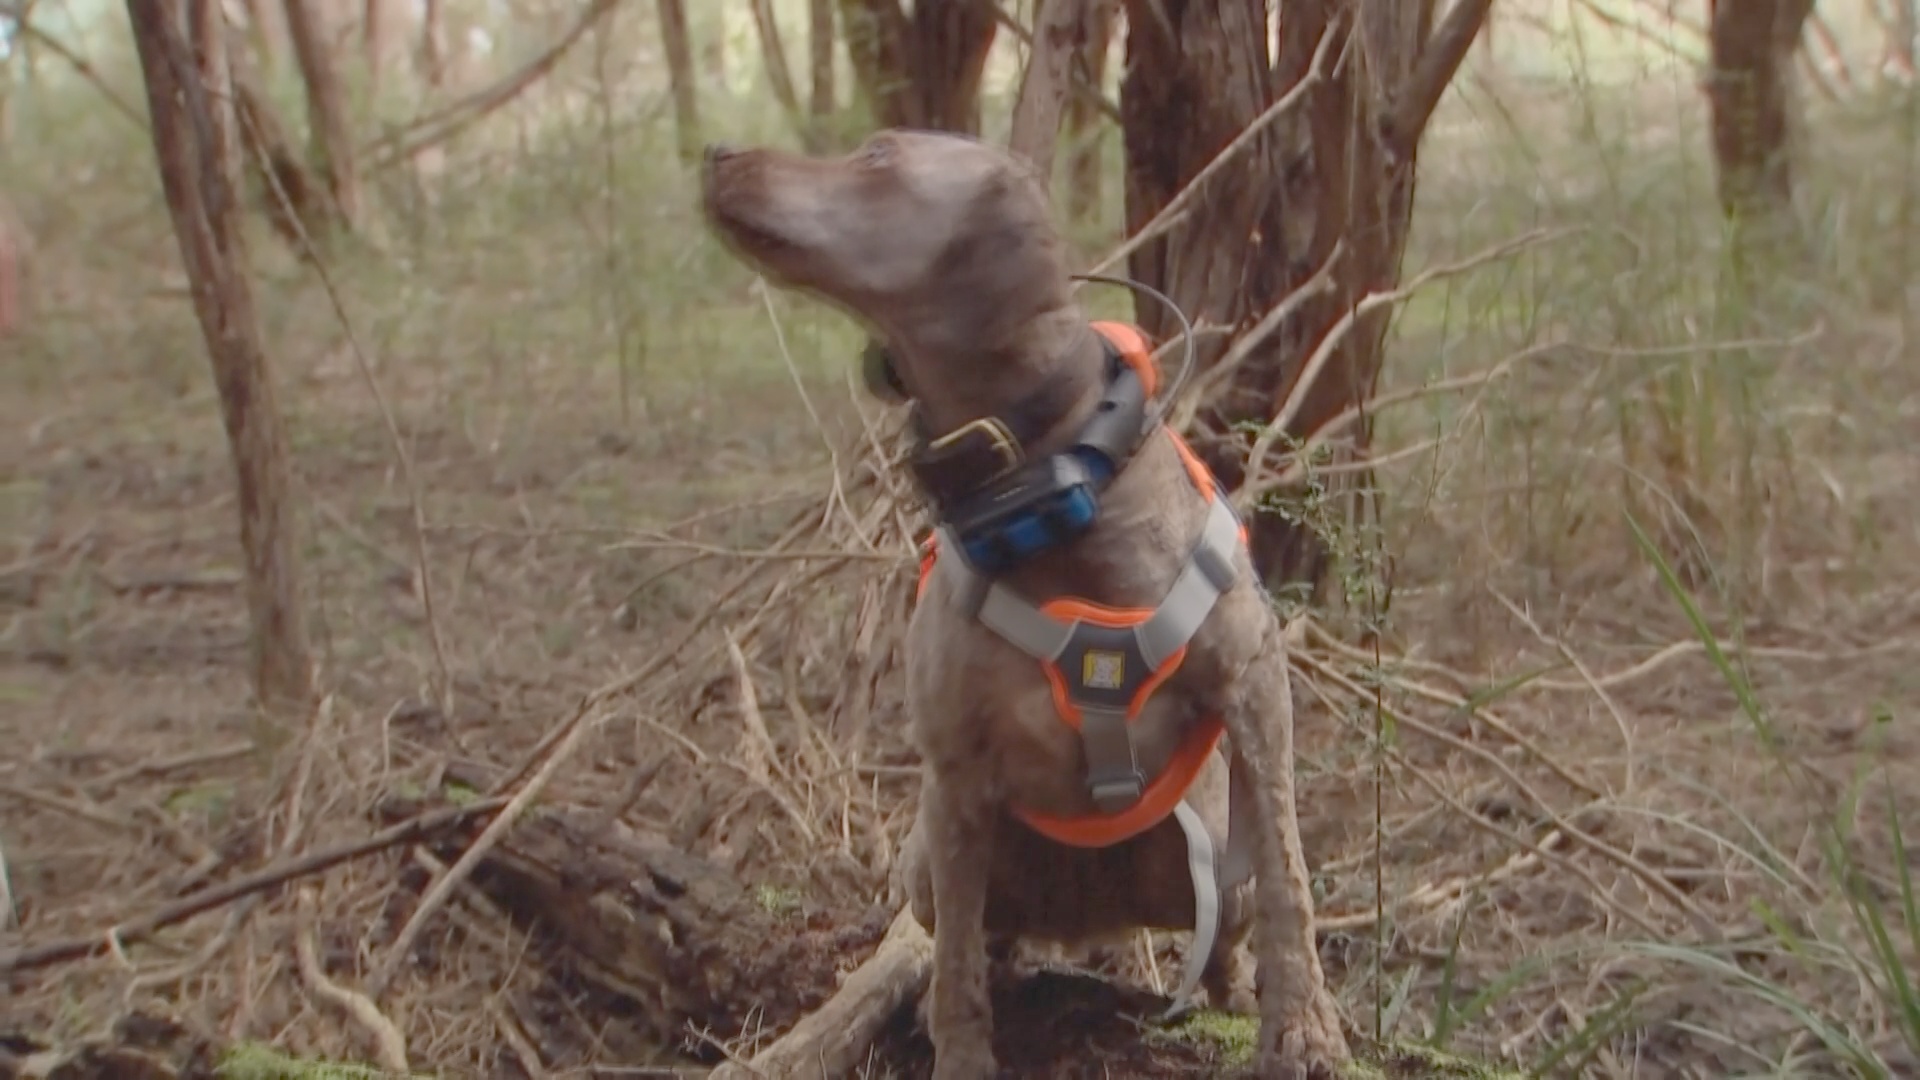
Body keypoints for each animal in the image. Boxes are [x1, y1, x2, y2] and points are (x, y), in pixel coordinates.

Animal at [702, 127, 1351, 1076]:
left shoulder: (1256, 685)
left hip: (1204, 874)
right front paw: (962, 1053)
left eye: (878, 156)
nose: (715, 153)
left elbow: (1288, 881)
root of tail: (1090, 920)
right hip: (927, 861)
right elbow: (956, 970)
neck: (1045, 488)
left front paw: (1303, 1028)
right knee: (970, 937)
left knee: (1226, 931)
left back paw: (1227, 995)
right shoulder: (955, 774)